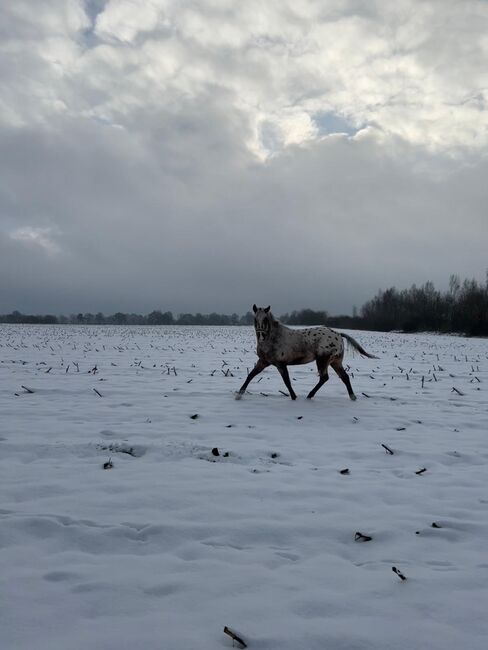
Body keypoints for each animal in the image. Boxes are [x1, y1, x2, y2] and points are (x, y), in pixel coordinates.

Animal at [236, 304, 378, 400]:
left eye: (265, 319)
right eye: (255, 320)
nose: (261, 336)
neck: (273, 339)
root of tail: (338, 334)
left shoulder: (280, 364)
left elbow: (287, 381)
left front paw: (294, 397)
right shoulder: (263, 361)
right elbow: (250, 375)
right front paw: (239, 395)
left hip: (322, 360)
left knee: (324, 378)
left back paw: (310, 395)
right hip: (335, 362)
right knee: (345, 377)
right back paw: (352, 397)